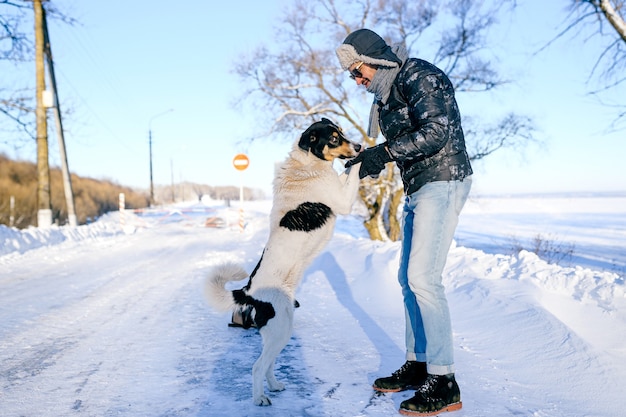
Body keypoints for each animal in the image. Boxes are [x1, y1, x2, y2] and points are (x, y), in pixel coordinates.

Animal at [205, 117, 360, 404]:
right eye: (334, 138)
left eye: (342, 132)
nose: (358, 145)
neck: (307, 165)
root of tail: (248, 291)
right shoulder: (342, 199)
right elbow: (354, 170)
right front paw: (366, 155)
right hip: (279, 329)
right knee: (257, 367)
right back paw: (259, 399)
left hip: (282, 328)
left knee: (269, 364)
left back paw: (274, 386)